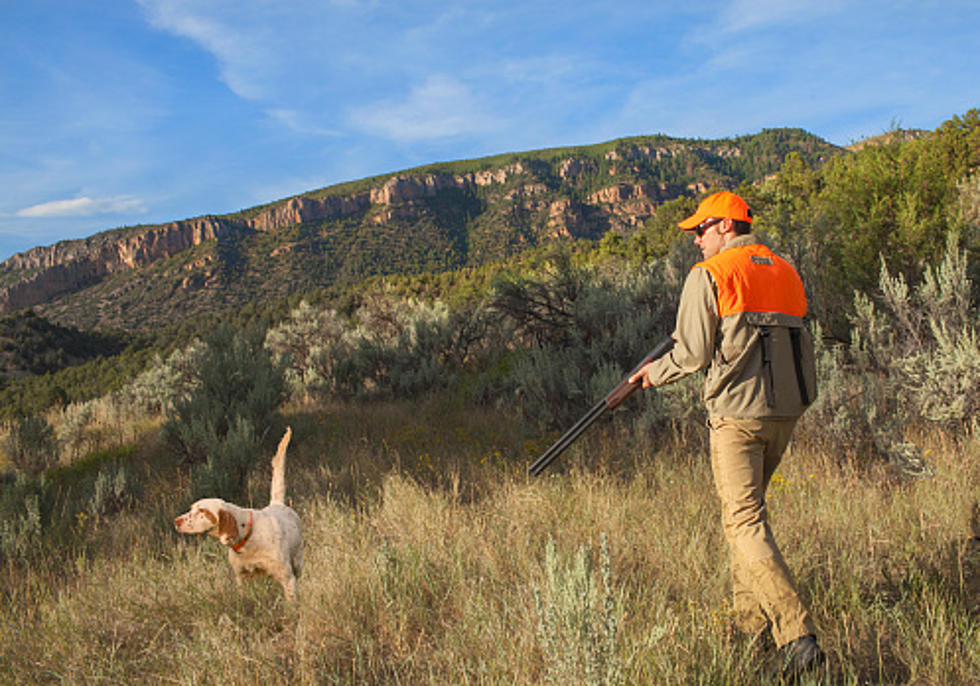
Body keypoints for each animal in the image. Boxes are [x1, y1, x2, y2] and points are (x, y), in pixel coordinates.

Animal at [173, 430, 302, 600]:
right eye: (192, 508)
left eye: (202, 511)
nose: (176, 521)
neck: (248, 538)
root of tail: (276, 504)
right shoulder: (241, 578)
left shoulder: (287, 577)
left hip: (298, 562)